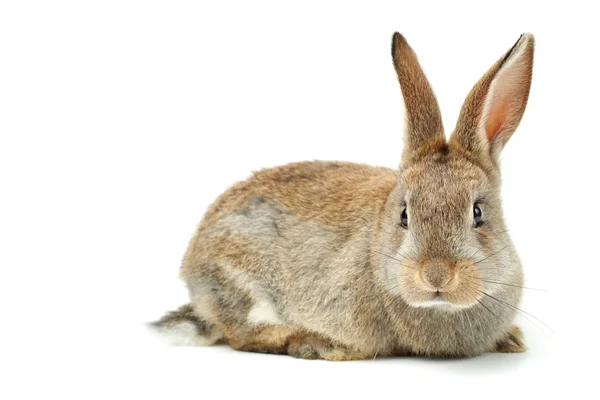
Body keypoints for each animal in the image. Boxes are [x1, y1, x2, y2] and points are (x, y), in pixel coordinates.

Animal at [150, 32, 536, 360]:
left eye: (478, 213)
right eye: (404, 216)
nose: (436, 277)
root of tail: (193, 275)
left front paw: (510, 339)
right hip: (242, 280)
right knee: (243, 335)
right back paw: (316, 343)